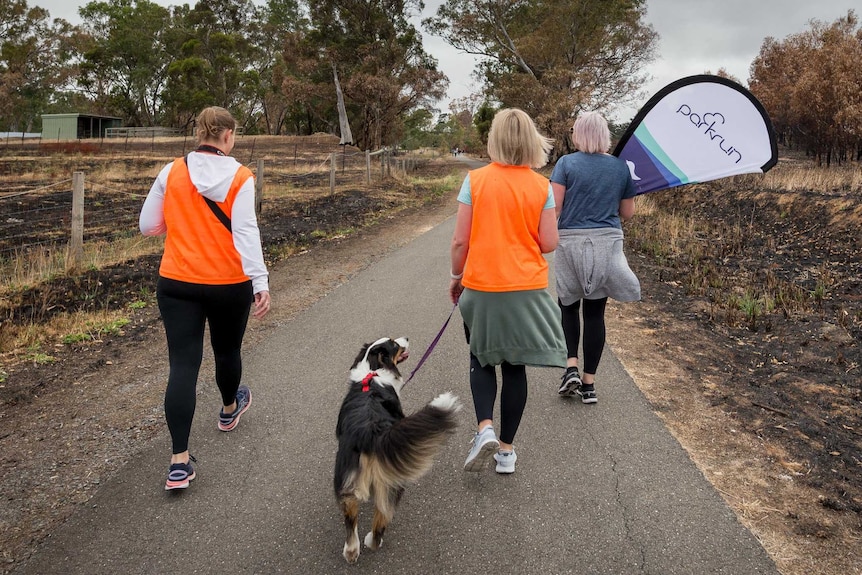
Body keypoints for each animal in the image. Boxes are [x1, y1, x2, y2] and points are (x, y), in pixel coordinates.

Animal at [334, 336, 462, 564]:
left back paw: (352, 550)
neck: (373, 370)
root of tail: (370, 433)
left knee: (351, 517)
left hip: (348, 476)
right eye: (394, 344)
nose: (407, 338)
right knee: (382, 518)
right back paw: (372, 541)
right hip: (391, 481)